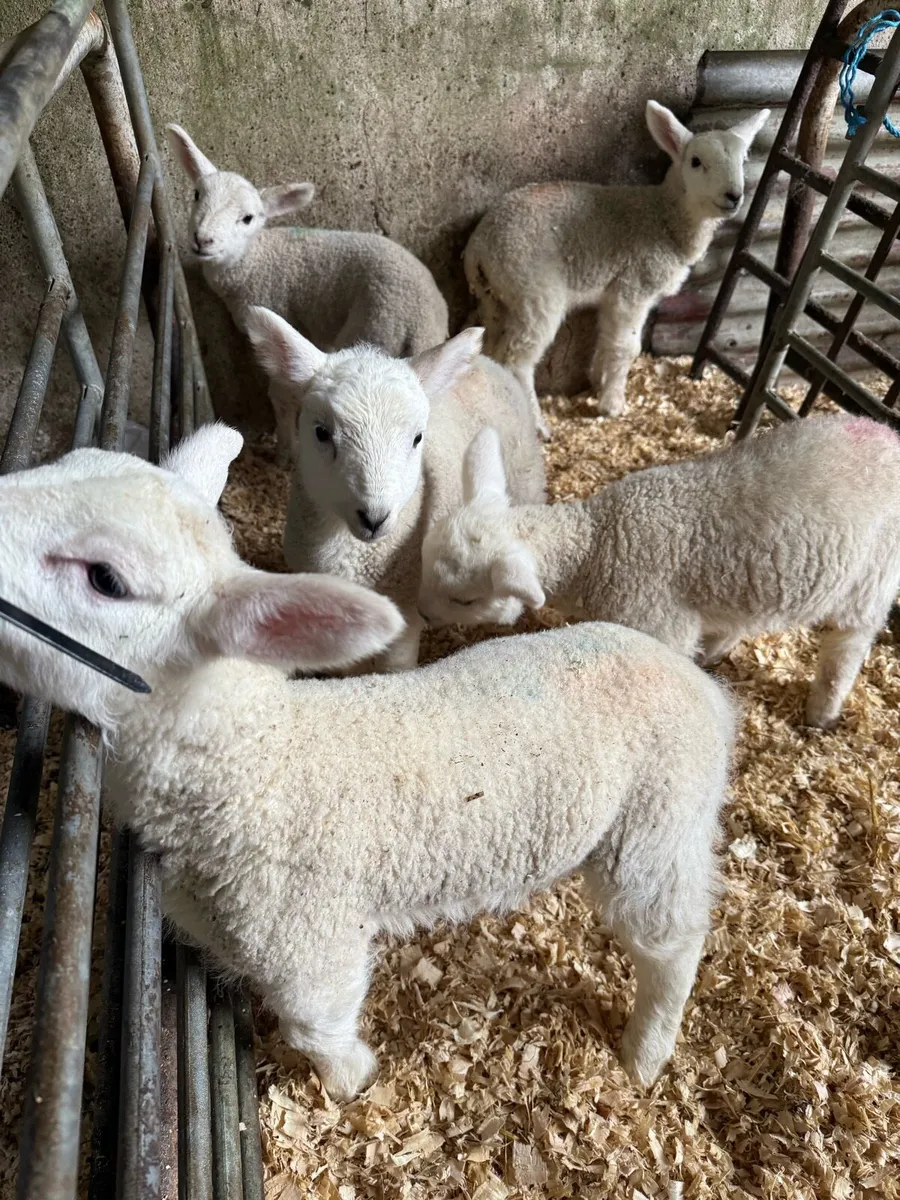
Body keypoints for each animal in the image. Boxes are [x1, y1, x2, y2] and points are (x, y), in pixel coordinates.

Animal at [0, 423, 735, 1100]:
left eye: (105, 579)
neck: (253, 768)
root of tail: (707, 692)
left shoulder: (309, 940)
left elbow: (316, 1026)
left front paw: (351, 1082)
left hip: (657, 825)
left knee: (672, 942)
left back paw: (645, 1052)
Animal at [166, 123, 449, 462]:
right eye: (197, 195)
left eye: (247, 218)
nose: (202, 239)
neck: (253, 260)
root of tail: (419, 319)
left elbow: (281, 394)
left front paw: (284, 451)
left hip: (375, 326)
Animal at [243, 307, 546, 671]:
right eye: (321, 433)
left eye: (417, 438)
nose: (374, 517)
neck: (353, 555)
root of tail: (486, 361)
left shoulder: (406, 611)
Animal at [418, 414, 900, 729]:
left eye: (465, 599)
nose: (421, 615)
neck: (596, 543)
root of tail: (887, 432)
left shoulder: (658, 623)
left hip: (873, 576)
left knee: (848, 645)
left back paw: (823, 712)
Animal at [464, 101, 770, 420]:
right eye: (696, 162)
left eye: (743, 160)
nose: (734, 196)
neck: (664, 217)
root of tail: (478, 245)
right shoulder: (633, 287)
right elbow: (627, 348)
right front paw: (612, 404)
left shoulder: (614, 294)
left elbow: (607, 340)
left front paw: (598, 381)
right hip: (534, 290)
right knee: (517, 360)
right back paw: (537, 422)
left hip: (497, 297)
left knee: (493, 348)